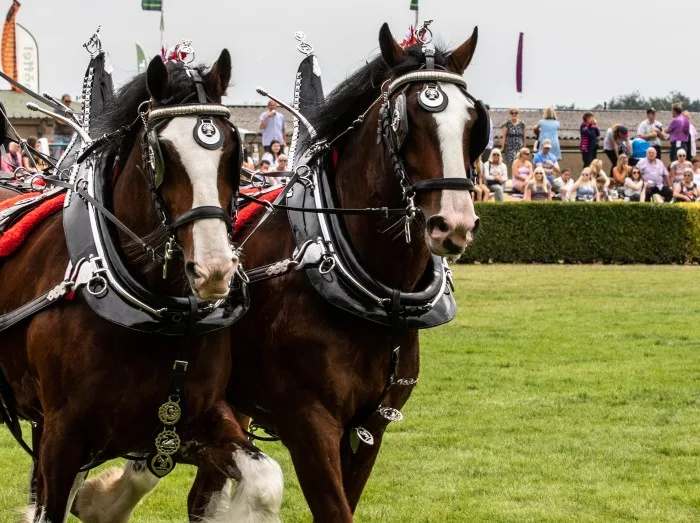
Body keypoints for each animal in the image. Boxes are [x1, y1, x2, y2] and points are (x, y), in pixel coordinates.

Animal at [0, 50, 284, 523]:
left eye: (232, 150)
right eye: (162, 152)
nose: (214, 269)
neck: (160, 312)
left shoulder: (193, 418)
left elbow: (265, 482)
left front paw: (102, 501)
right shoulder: (62, 433)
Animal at [75, 22, 482, 520]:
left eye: (472, 122)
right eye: (408, 122)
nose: (454, 223)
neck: (379, 299)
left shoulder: (371, 429)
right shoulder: (310, 424)